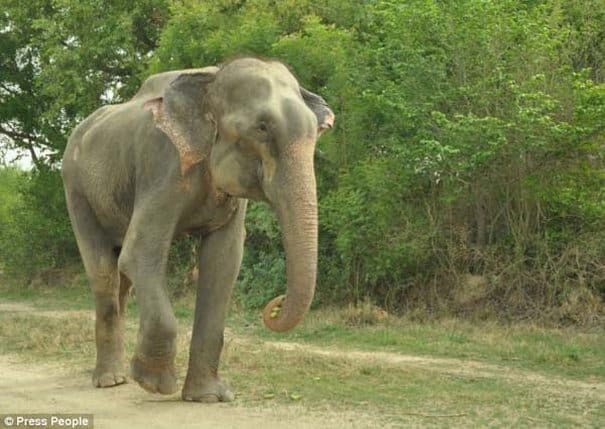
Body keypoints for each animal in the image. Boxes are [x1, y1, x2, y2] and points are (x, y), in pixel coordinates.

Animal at [60, 56, 336, 402]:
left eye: (316, 132)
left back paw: (117, 377)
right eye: (261, 127)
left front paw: (209, 397)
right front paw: (154, 383)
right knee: (104, 270)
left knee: (119, 277)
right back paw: (110, 380)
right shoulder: (162, 162)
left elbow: (223, 262)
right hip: (76, 189)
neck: (211, 78)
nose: (275, 305)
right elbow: (140, 254)